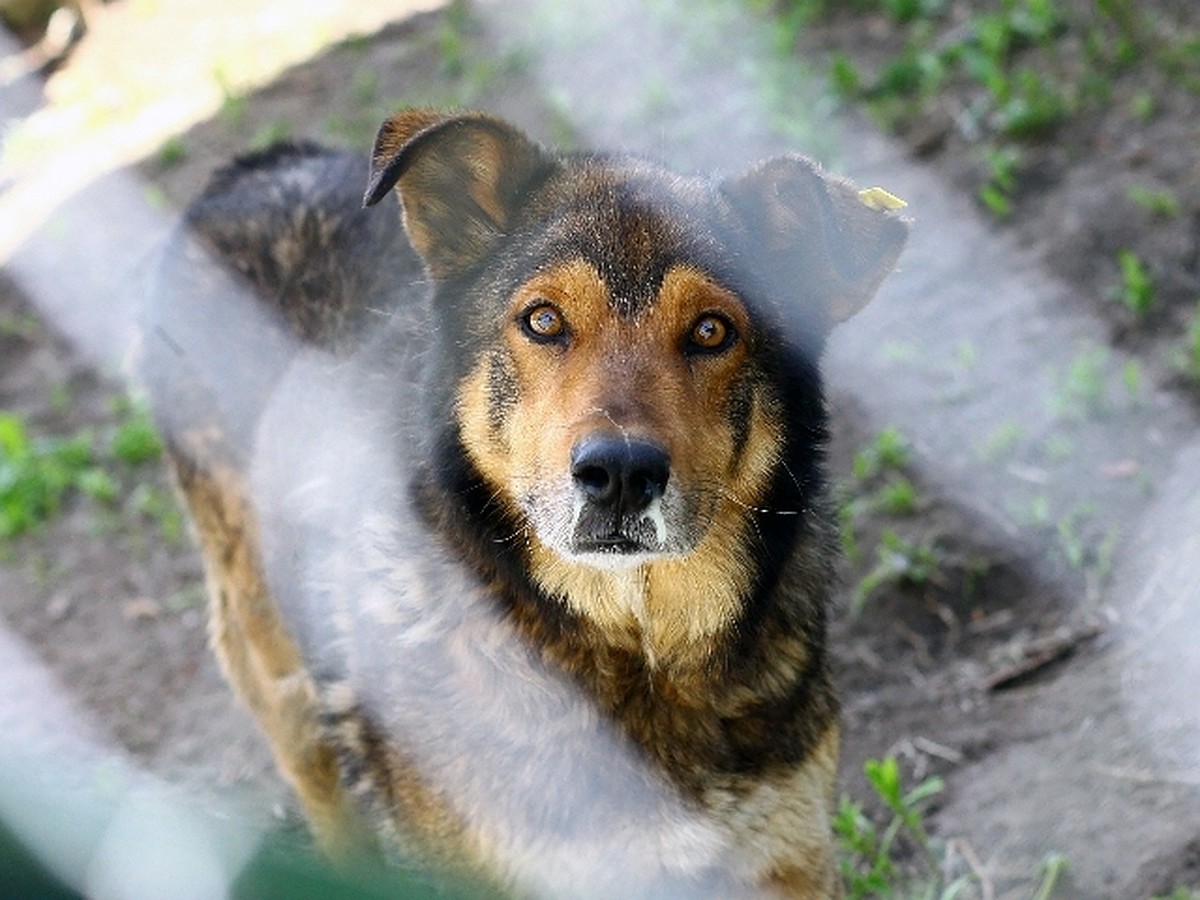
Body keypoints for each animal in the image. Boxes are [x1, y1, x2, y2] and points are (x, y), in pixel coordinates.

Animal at [140, 109, 902, 897]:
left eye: (711, 331)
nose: (620, 473)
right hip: (277, 670)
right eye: (543, 321)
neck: (634, 653)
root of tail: (258, 168)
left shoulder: (789, 858)